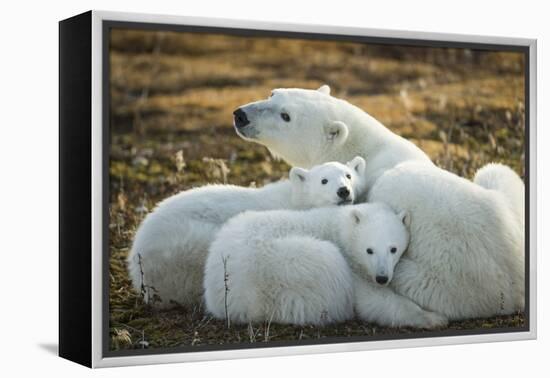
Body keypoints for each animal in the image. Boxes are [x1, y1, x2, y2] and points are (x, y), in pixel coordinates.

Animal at [234, 84, 528, 320]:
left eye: (286, 116)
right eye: (272, 93)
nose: (241, 115)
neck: (365, 148)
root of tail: (514, 284)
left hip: (449, 283)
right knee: (495, 171)